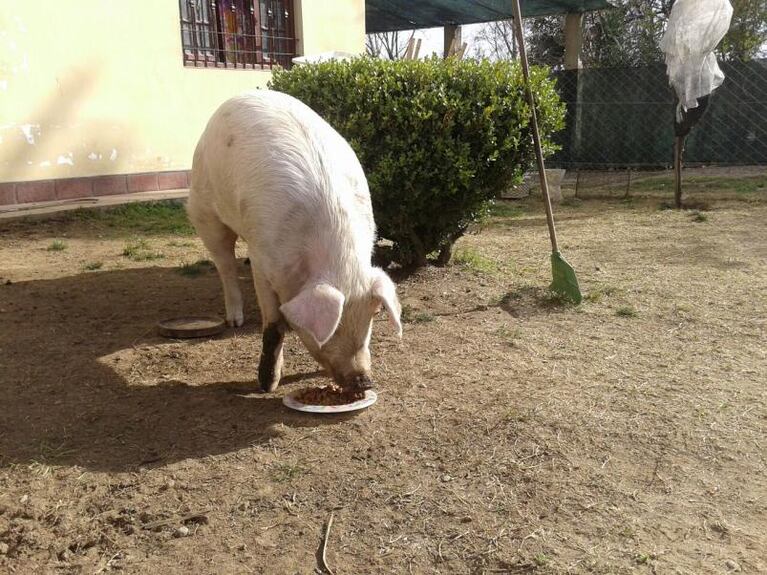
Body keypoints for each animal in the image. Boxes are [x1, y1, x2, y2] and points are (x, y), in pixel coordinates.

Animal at [188, 90, 402, 394]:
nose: (364, 381)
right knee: (225, 264)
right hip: (204, 207)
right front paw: (268, 385)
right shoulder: (263, 258)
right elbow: (273, 325)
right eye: (333, 328)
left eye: (370, 318)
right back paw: (235, 320)